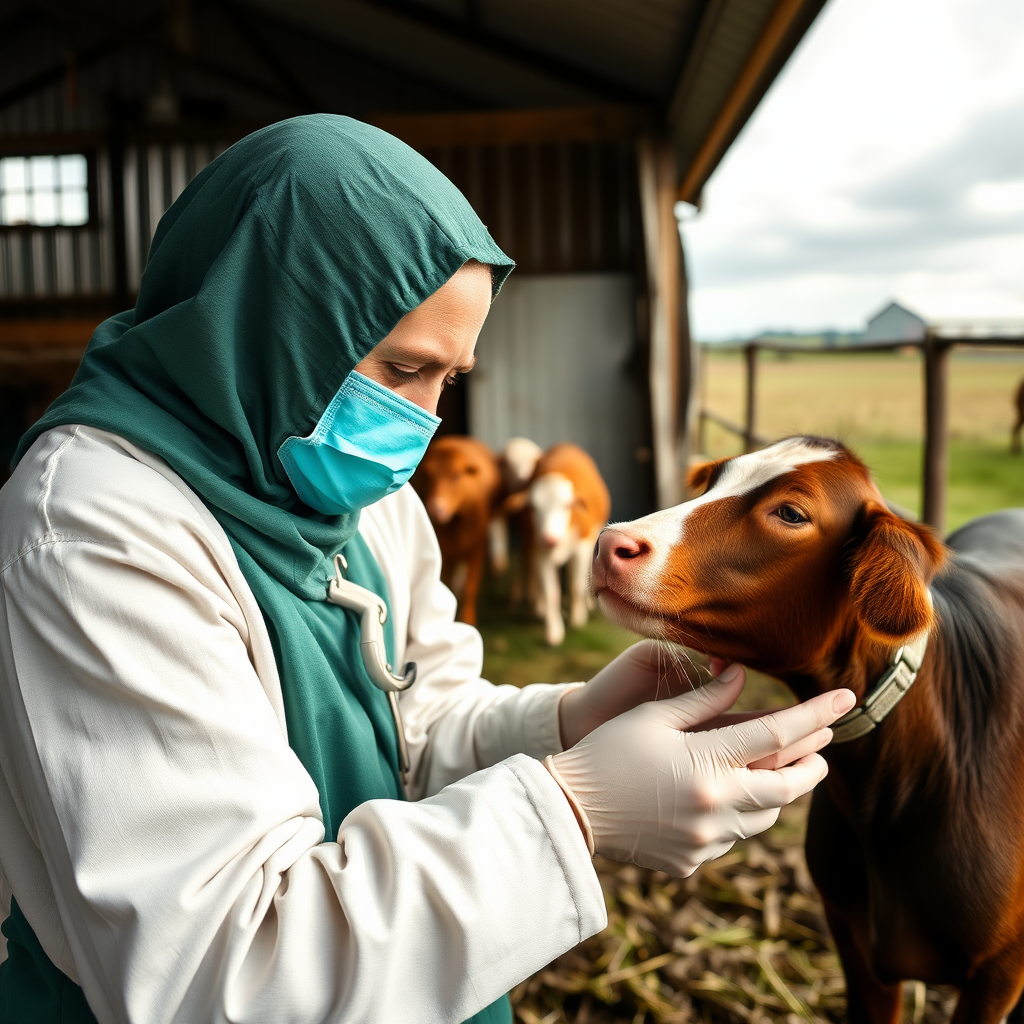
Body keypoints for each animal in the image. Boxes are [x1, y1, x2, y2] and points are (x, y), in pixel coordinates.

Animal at [411, 432, 499, 622]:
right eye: (426, 476)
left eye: (456, 475)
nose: (436, 508)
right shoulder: (444, 552)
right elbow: (446, 584)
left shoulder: (477, 549)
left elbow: (470, 587)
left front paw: (469, 620)